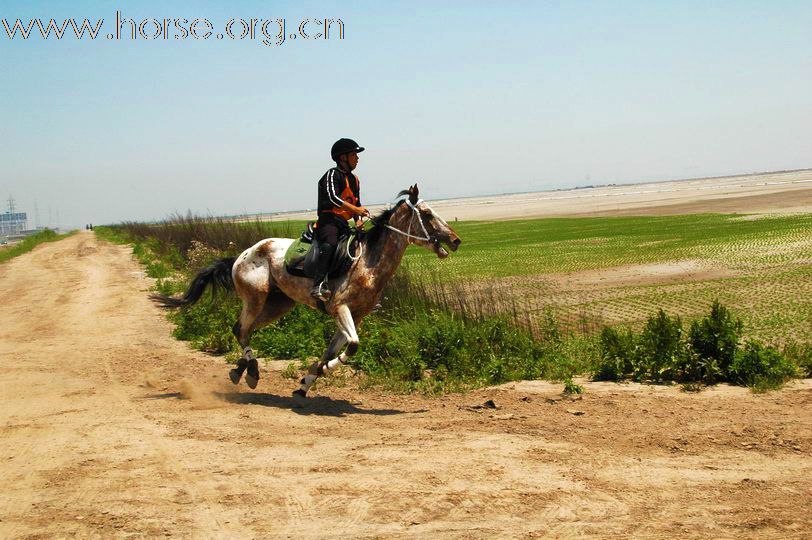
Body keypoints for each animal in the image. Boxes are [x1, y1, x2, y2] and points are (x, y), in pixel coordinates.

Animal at [155, 186, 460, 400]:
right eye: (428, 215)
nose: (456, 240)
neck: (368, 262)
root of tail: (242, 255)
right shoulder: (340, 309)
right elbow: (353, 346)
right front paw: (319, 372)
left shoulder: (355, 316)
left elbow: (332, 350)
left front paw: (306, 382)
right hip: (256, 298)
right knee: (241, 329)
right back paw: (250, 371)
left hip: (278, 305)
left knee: (241, 329)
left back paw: (242, 371)